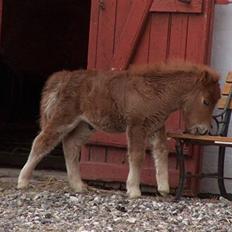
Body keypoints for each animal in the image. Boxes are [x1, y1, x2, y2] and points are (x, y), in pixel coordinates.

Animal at [17, 63, 220, 198]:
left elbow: (161, 152)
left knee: (71, 145)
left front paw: (163, 189)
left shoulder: (156, 127)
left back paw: (78, 186)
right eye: (205, 101)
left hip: (85, 125)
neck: (155, 92)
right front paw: (134, 191)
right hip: (64, 118)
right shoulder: (136, 126)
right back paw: (23, 181)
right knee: (42, 142)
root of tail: (64, 77)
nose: (203, 130)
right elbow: (137, 155)